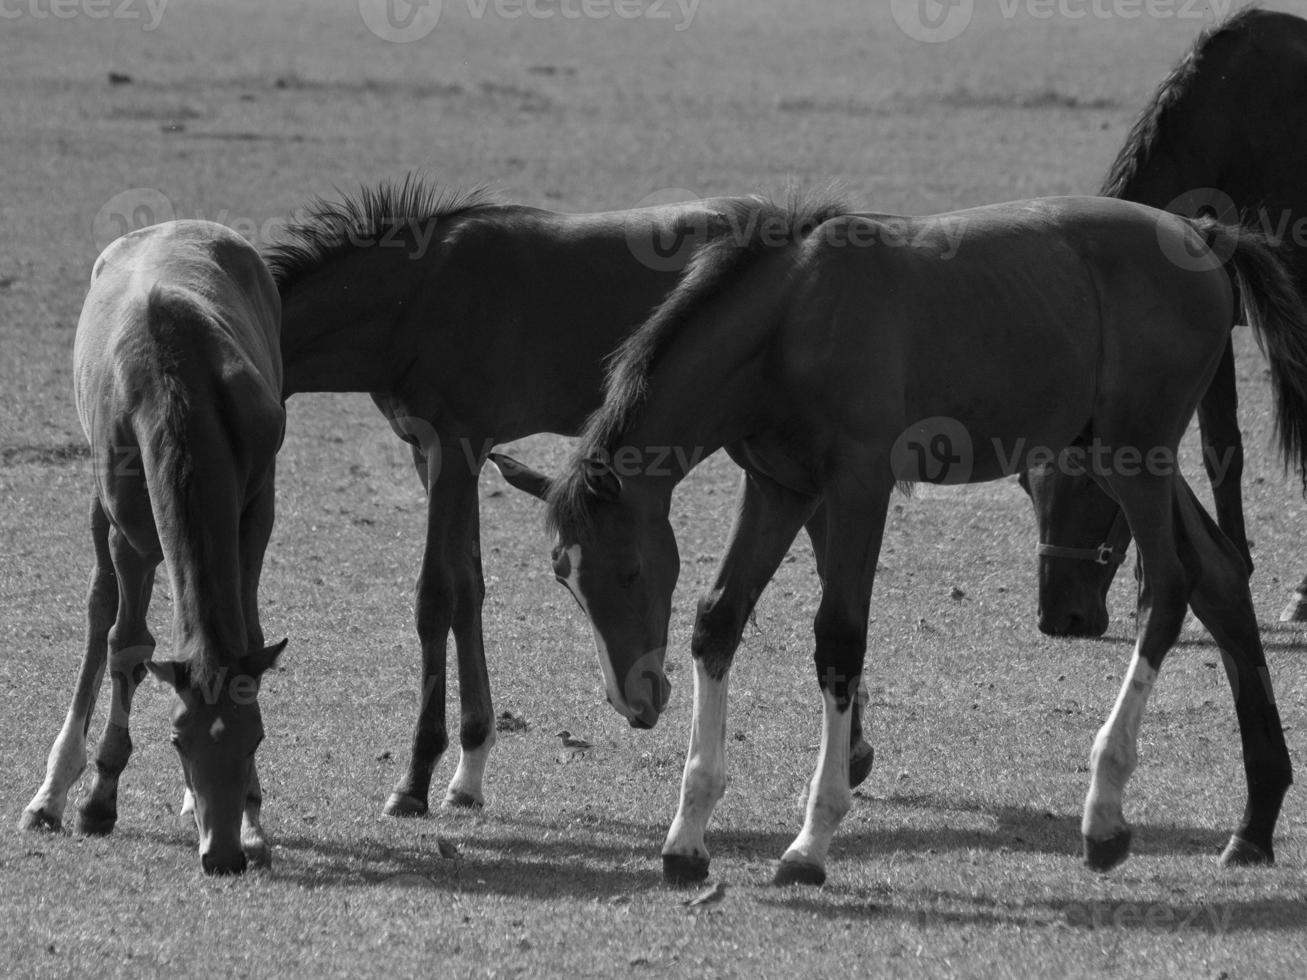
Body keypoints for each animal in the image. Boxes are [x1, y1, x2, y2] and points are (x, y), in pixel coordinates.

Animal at [20, 222, 287, 872]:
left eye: (256, 737)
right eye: (178, 739)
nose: (222, 856)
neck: (174, 387)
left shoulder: (254, 512)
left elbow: (247, 635)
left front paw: (252, 822)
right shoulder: (132, 537)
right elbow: (127, 643)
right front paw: (98, 802)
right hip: (101, 503)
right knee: (99, 614)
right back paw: (52, 794)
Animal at [262, 179, 878, 820]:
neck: (415, 297)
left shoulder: (452, 446)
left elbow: (435, 597)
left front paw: (414, 778)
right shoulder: (439, 455)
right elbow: (468, 587)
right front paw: (469, 769)